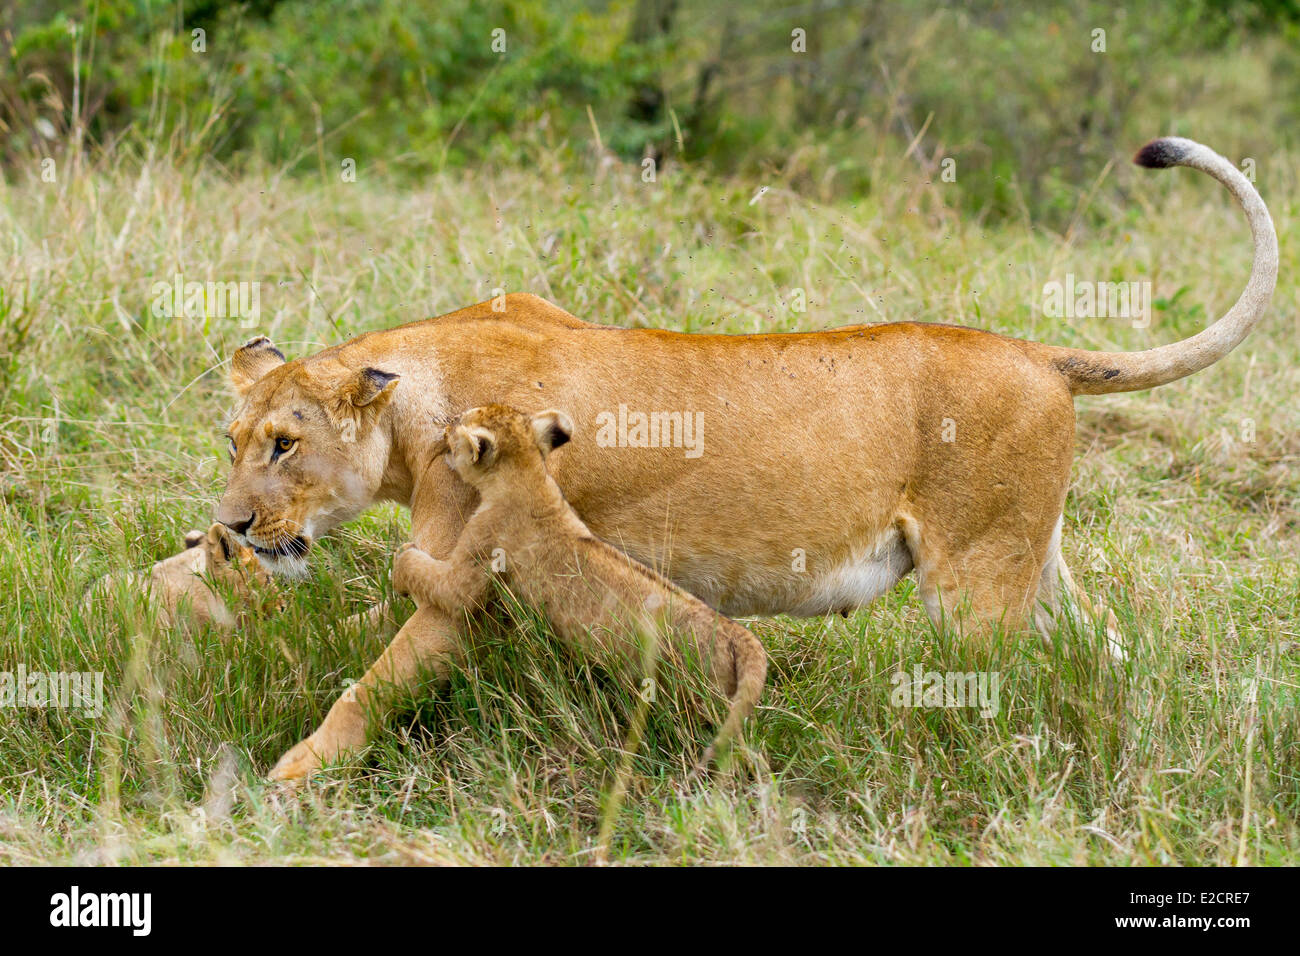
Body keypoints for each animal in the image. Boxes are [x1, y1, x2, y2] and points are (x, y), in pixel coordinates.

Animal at [388, 404, 767, 767]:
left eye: (459, 425)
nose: (444, 433)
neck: (529, 477)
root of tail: (742, 638)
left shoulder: (474, 563)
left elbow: (438, 581)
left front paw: (400, 563)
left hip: (697, 697)